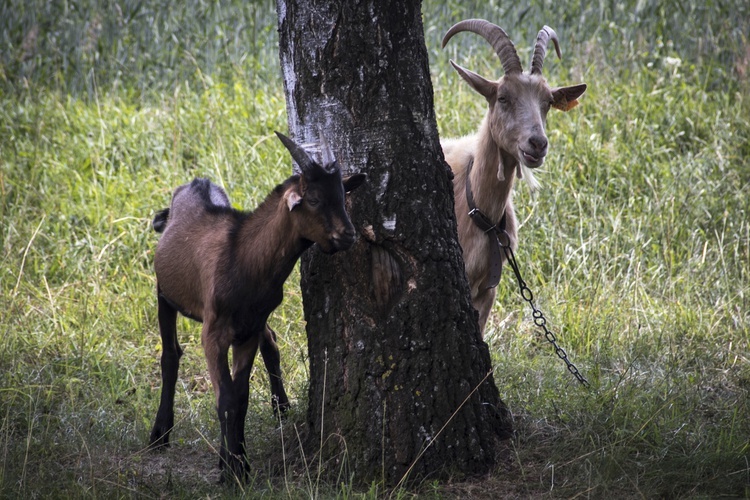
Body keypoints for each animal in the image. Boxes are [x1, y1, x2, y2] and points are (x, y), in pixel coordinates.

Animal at [148, 132, 368, 480]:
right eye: (314, 199)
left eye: (343, 196)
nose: (347, 235)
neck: (245, 257)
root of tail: (195, 183)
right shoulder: (213, 332)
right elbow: (226, 399)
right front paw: (230, 470)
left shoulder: (248, 329)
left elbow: (241, 397)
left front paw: (239, 462)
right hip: (164, 294)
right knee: (170, 356)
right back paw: (159, 435)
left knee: (271, 342)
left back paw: (280, 407)